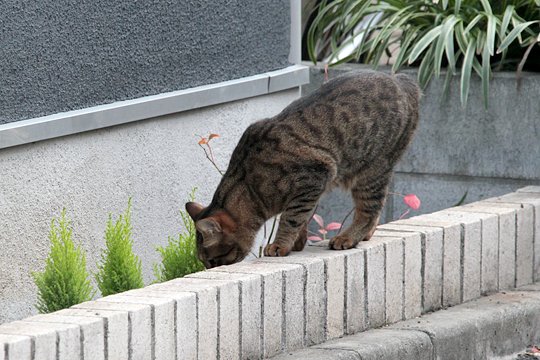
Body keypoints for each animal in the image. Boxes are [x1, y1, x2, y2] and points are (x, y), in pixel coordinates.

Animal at [187, 70, 422, 268]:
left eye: (212, 259)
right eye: (205, 261)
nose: (208, 269)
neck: (250, 185)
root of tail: (401, 80)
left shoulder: (314, 178)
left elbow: (291, 217)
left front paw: (280, 245)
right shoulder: (308, 190)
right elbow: (300, 218)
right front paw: (297, 242)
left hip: (371, 171)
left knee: (369, 211)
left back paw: (347, 237)